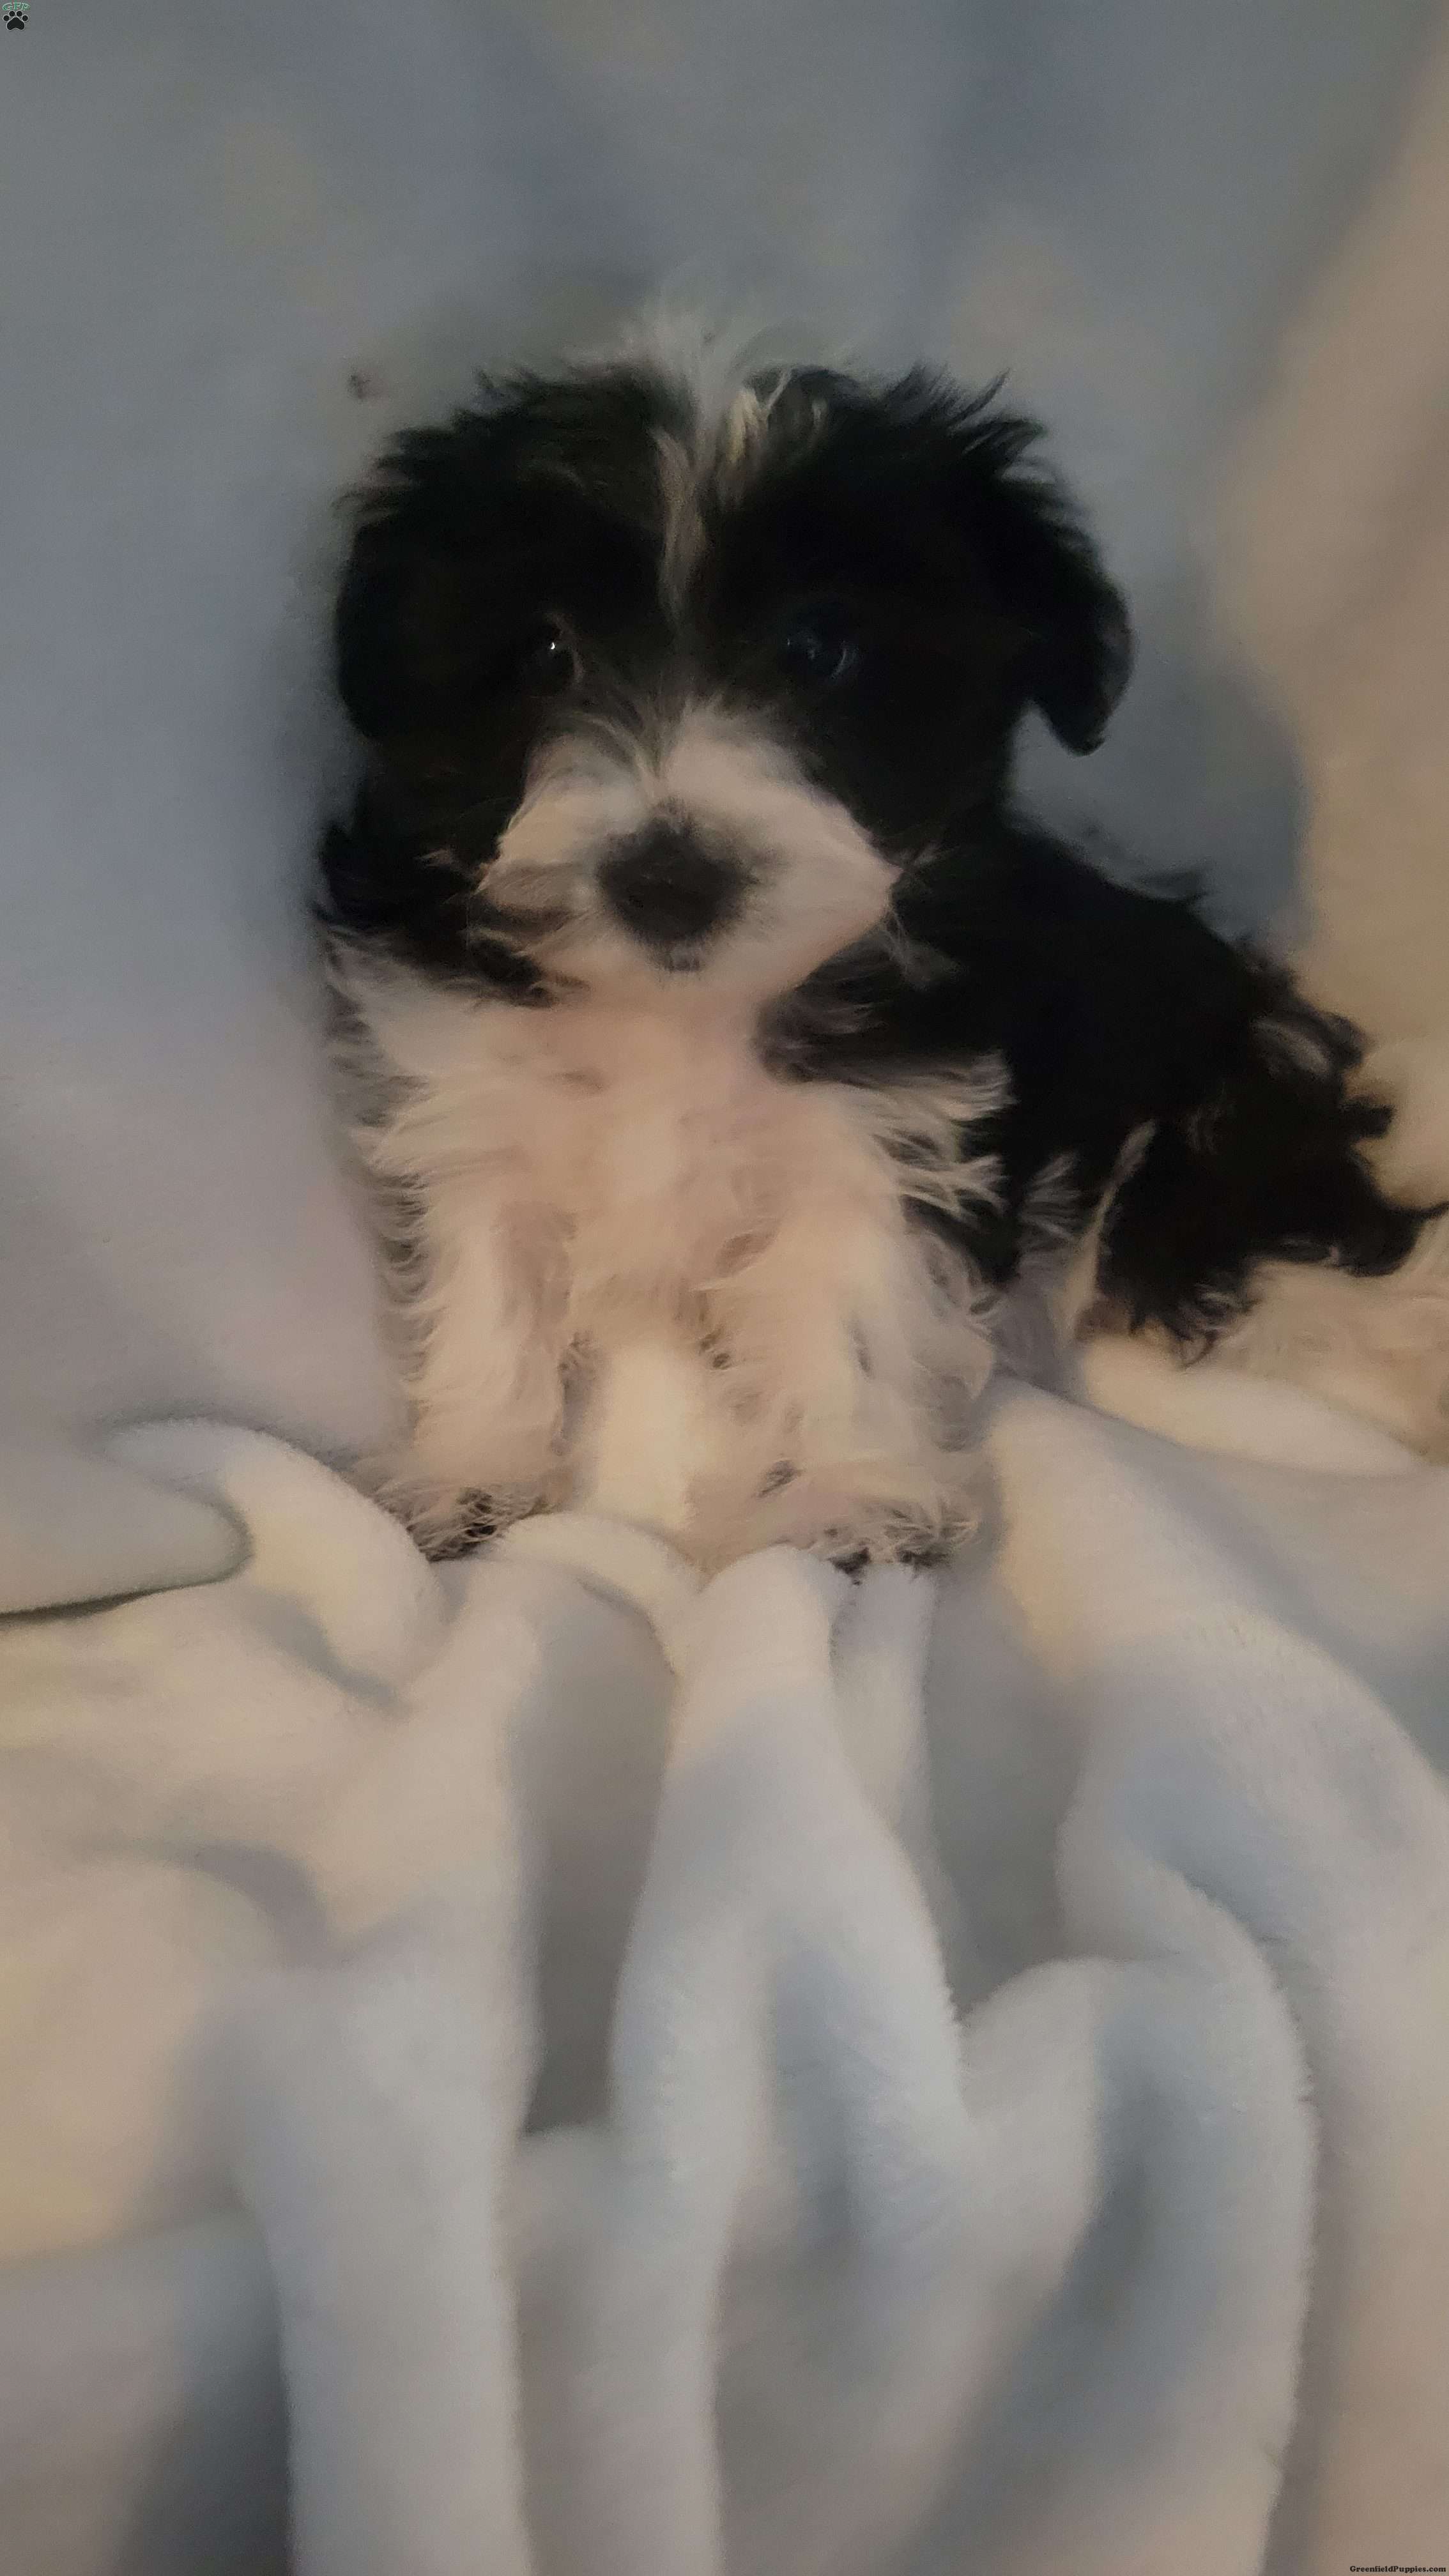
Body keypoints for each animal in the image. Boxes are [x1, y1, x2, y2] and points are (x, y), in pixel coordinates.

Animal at [318, 328, 1449, 1568]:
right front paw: (469, 1462)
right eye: (544, 652)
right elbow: (490, 1271)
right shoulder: (471, 1086)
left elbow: (849, 1297)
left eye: (817, 649)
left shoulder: (893, 1117)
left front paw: (841, 1494)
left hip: (1205, 1150)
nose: (669, 880)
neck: (687, 1010)